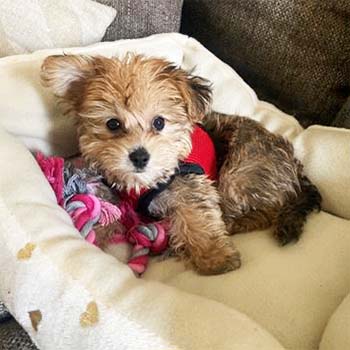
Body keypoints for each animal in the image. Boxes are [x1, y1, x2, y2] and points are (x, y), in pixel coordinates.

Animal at [39, 53, 322, 274]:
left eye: (159, 122)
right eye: (113, 124)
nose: (139, 156)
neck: (144, 183)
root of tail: (296, 168)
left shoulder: (191, 184)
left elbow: (198, 218)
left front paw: (216, 258)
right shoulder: (114, 191)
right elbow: (109, 212)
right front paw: (93, 235)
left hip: (243, 168)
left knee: (268, 207)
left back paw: (238, 223)